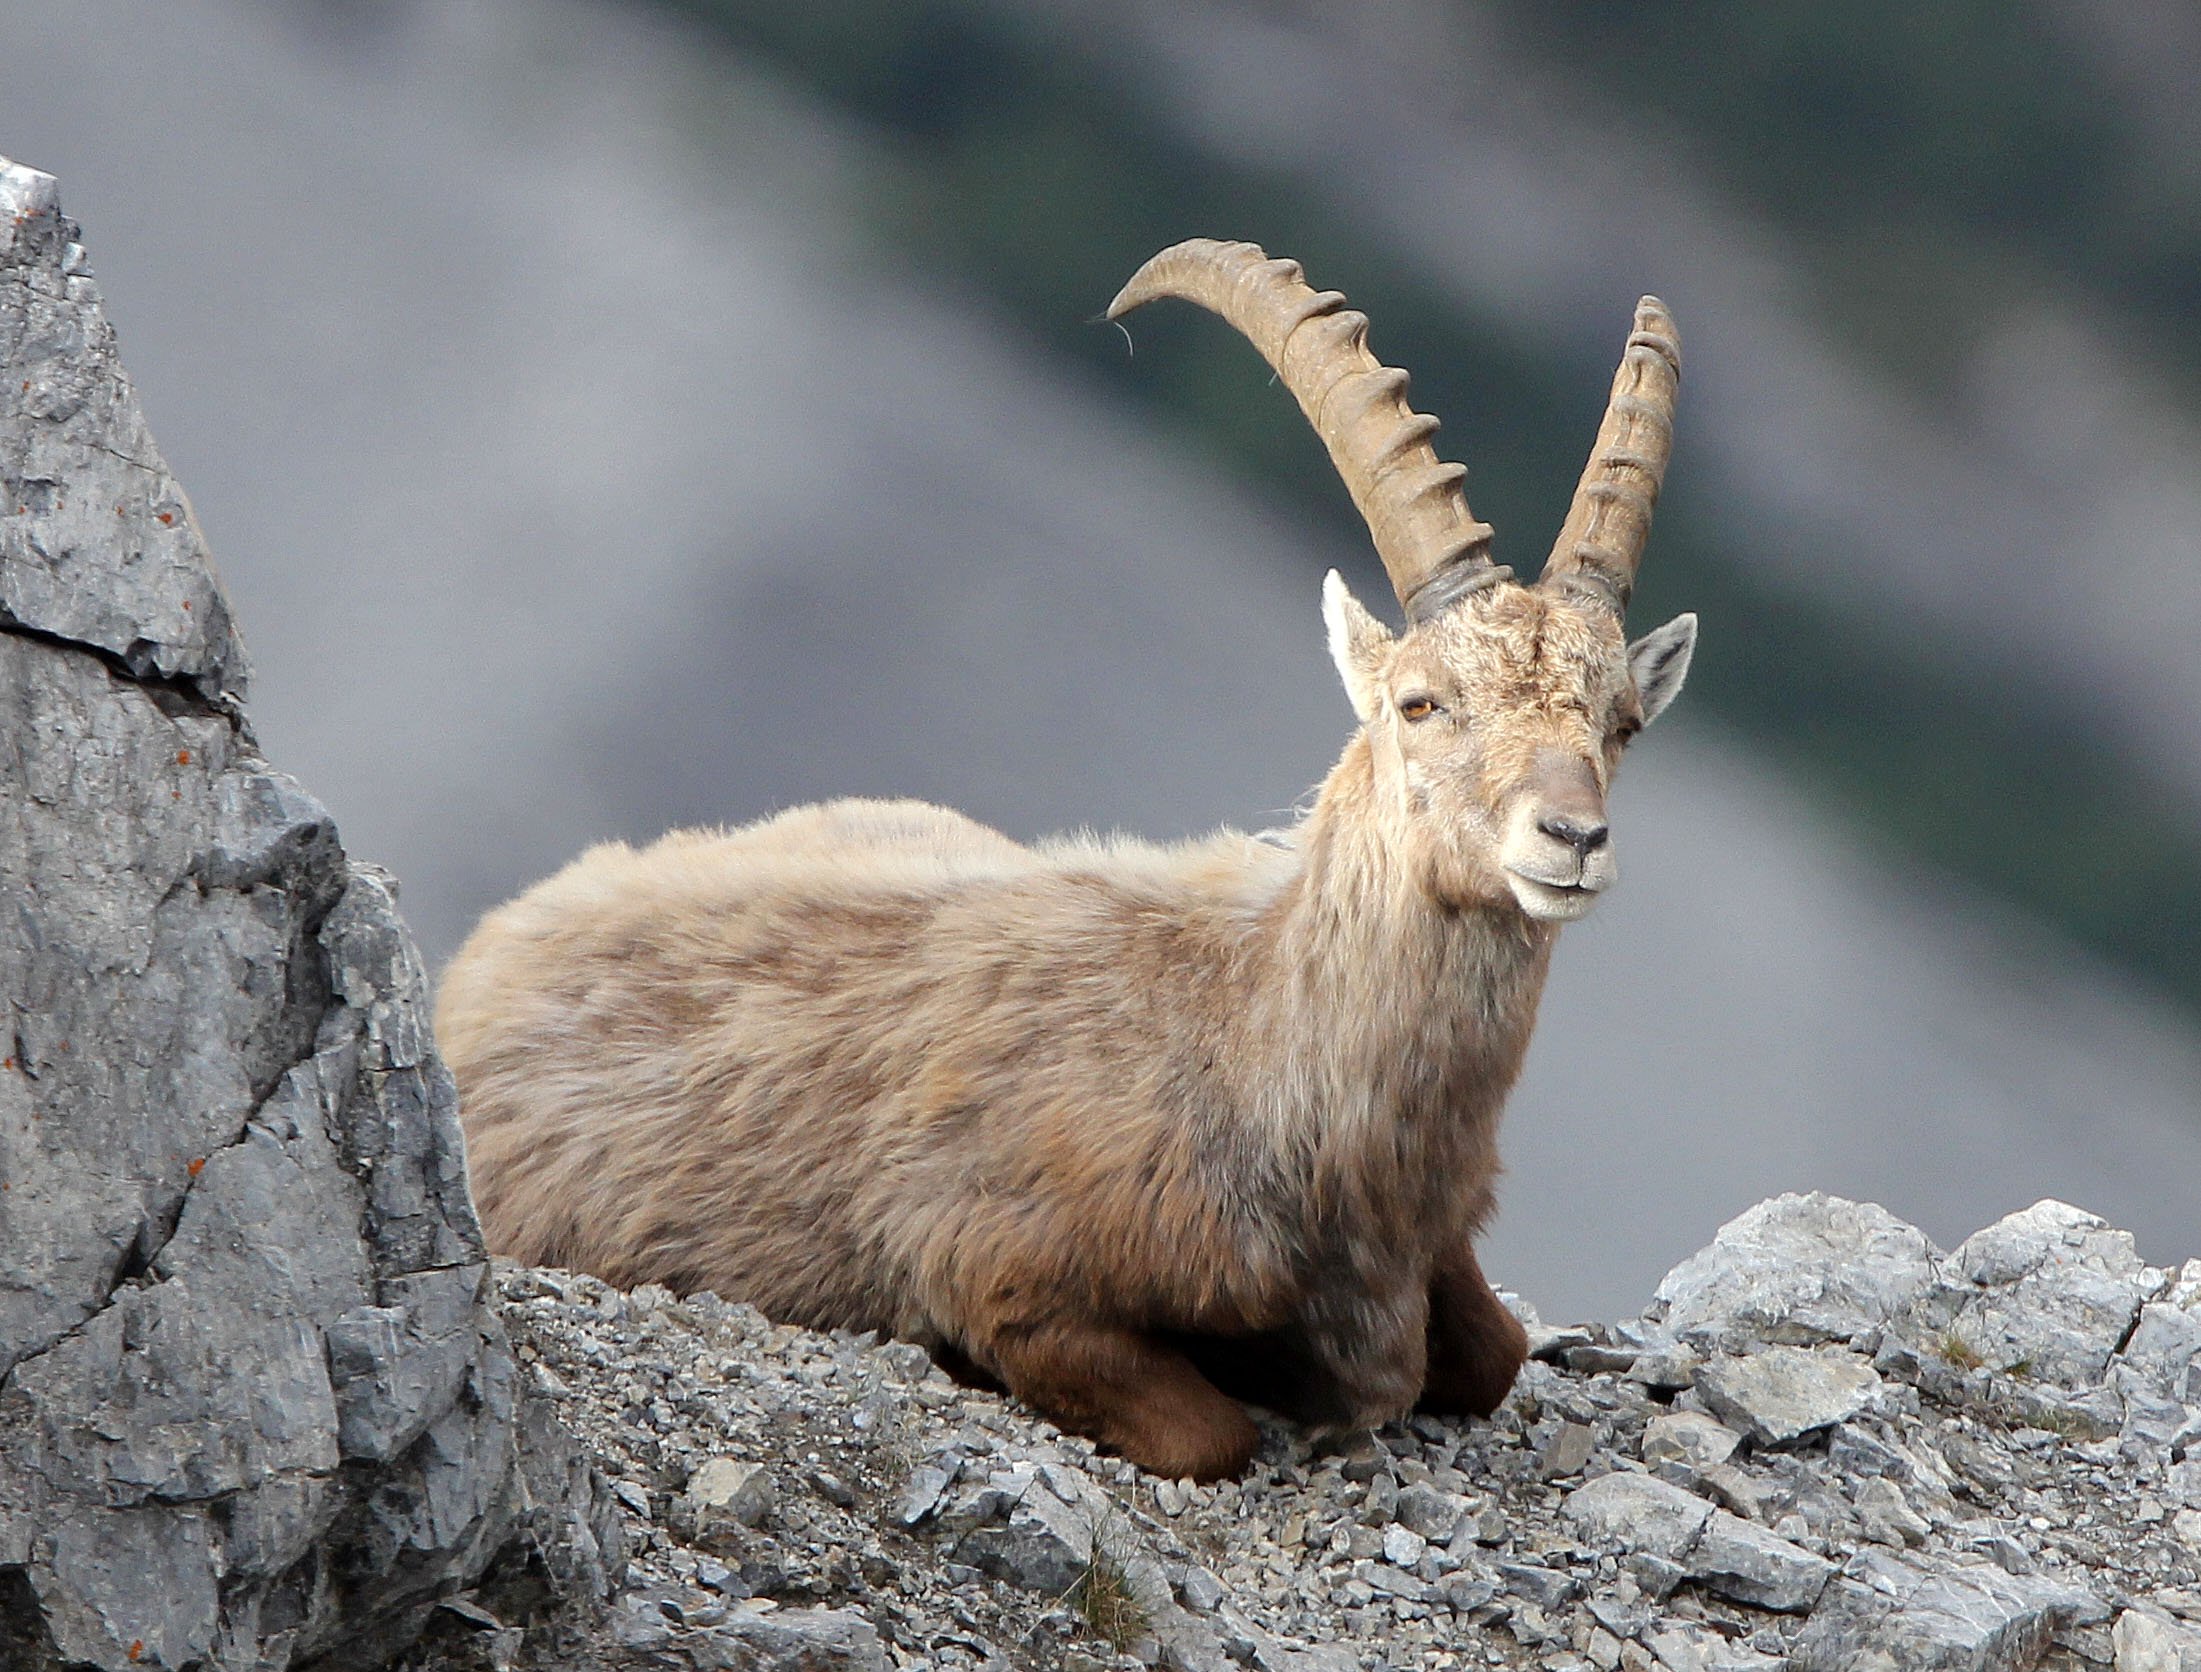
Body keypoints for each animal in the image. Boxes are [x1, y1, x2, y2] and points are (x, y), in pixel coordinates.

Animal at [437, 240, 1698, 1480]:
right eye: (1419, 701)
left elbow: (1491, 1353)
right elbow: (1207, 1431)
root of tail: (483, 953)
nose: (1569, 839)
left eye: (1622, 722)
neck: (1257, 1048)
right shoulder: (1000, 1268)